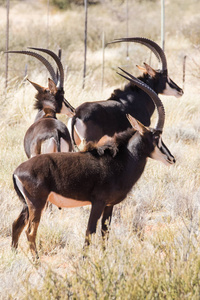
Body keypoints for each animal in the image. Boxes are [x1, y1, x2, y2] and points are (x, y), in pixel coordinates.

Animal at [12, 69, 175, 258]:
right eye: (156, 137)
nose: (171, 159)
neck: (121, 159)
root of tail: (17, 172)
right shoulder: (98, 203)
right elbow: (89, 232)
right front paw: (85, 260)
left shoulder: (109, 206)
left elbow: (105, 232)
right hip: (37, 204)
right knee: (30, 231)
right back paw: (37, 261)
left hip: (27, 205)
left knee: (17, 225)